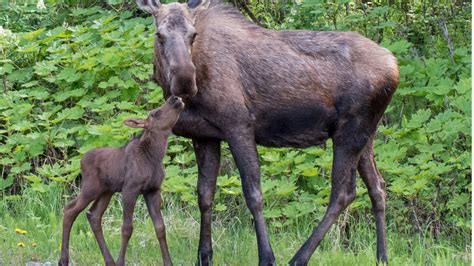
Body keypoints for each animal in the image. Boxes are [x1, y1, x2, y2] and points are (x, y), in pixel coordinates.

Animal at [59, 96, 185, 266]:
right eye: (155, 113)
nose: (175, 98)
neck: (154, 158)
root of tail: (81, 161)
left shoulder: (153, 190)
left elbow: (160, 227)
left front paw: (168, 262)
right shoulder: (130, 189)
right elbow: (127, 228)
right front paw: (121, 261)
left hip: (106, 191)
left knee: (93, 215)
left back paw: (108, 260)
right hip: (91, 188)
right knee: (69, 209)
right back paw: (63, 260)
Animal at [138, 0, 400, 264]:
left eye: (193, 35)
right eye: (159, 35)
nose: (185, 80)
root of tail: (394, 63)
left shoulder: (238, 125)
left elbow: (253, 194)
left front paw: (266, 256)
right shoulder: (205, 136)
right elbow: (204, 195)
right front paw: (204, 256)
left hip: (350, 132)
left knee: (343, 192)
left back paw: (299, 257)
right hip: (366, 134)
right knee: (377, 187)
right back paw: (382, 255)